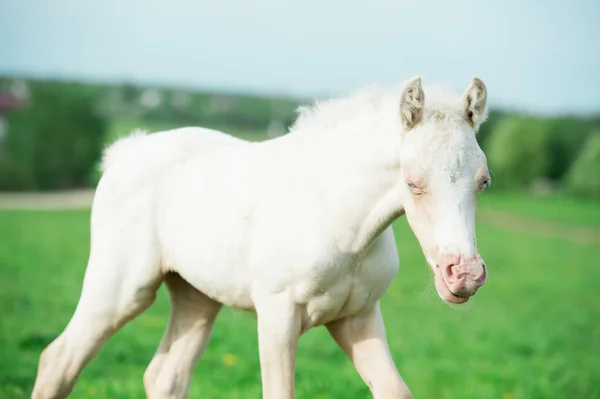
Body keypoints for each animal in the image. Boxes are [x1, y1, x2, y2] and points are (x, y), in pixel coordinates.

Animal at [32, 76, 490, 398]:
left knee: (164, 377)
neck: (337, 217)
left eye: (484, 181)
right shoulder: (277, 314)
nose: (464, 275)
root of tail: (125, 153)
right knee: (58, 361)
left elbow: (395, 390)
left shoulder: (357, 316)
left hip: (196, 297)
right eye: (412, 183)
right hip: (121, 290)